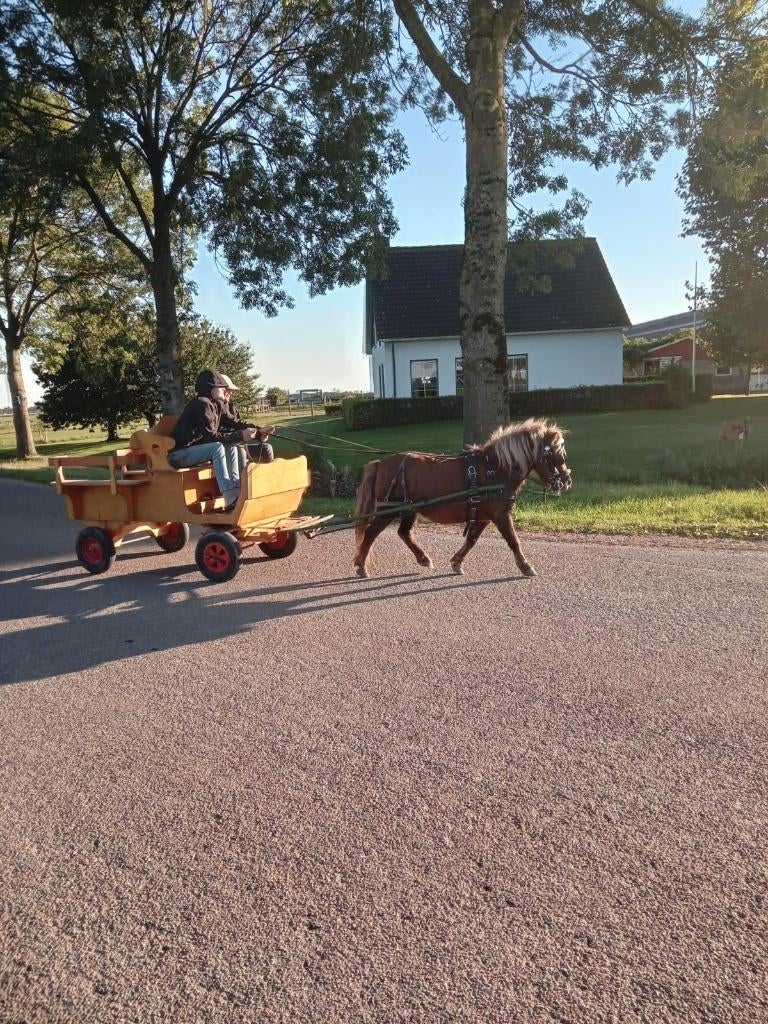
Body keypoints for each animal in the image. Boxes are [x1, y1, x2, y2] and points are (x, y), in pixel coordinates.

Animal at [353, 418, 572, 579]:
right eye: (556, 455)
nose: (566, 480)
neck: (495, 469)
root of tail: (381, 464)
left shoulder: (483, 516)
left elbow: (472, 540)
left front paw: (457, 562)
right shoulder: (500, 514)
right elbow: (513, 540)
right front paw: (526, 566)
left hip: (408, 508)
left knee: (404, 533)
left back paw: (423, 558)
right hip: (388, 509)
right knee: (371, 533)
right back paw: (361, 565)